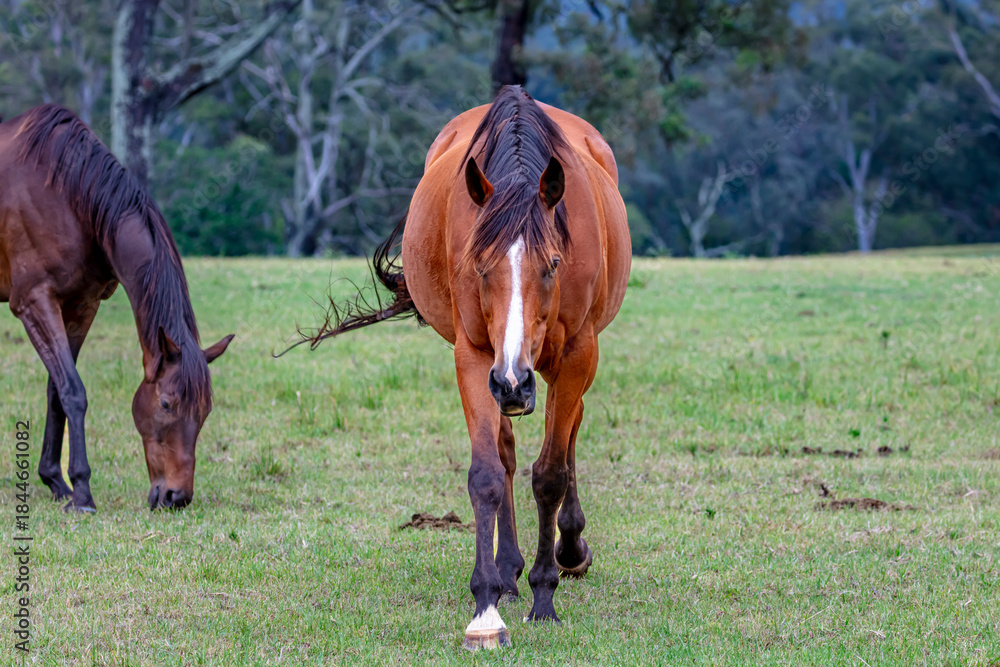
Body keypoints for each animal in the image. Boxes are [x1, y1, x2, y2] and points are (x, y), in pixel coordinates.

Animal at [0, 104, 233, 511]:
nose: (176, 497)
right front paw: (81, 491)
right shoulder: (34, 303)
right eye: (167, 404)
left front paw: (55, 481)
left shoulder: (80, 306)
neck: (66, 194)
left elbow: (56, 392)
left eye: (204, 411)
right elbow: (73, 391)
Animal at [299, 86, 630, 648]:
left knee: (568, 435)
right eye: (480, 266)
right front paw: (487, 608)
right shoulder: (476, 356)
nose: (514, 383)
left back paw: (568, 550)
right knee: (509, 452)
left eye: (553, 264)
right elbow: (487, 476)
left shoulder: (575, 354)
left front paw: (545, 594)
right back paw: (510, 571)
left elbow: (551, 474)